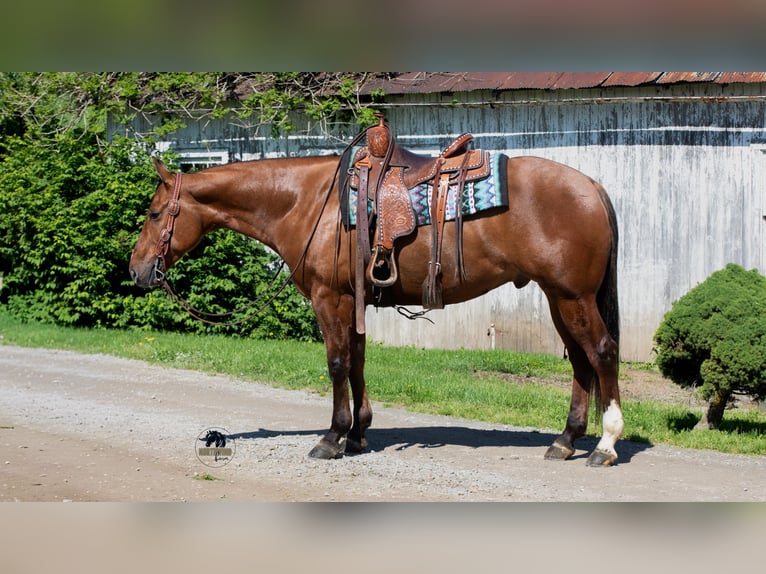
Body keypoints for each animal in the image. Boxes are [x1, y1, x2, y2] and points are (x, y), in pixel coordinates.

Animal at [129, 146, 623, 467]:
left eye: (154, 214)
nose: (136, 269)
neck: (309, 203)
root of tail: (593, 186)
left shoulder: (329, 297)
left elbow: (337, 362)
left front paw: (332, 437)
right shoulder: (354, 299)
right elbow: (358, 361)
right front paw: (359, 433)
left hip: (572, 297)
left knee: (601, 354)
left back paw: (605, 445)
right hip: (559, 298)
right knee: (581, 363)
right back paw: (565, 441)